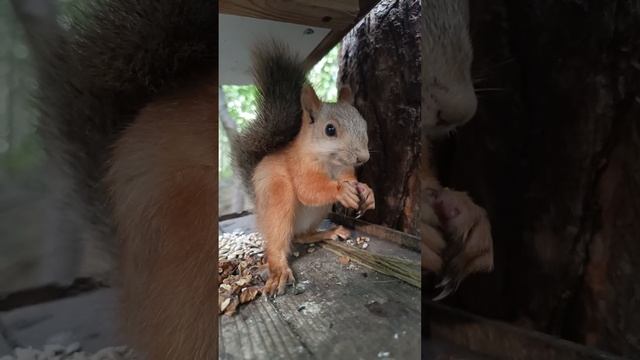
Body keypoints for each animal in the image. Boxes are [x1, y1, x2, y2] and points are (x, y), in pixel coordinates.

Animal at [230, 42, 376, 296]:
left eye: (363, 123)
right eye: (330, 130)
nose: (363, 157)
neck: (331, 162)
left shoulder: (345, 169)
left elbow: (350, 179)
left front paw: (366, 192)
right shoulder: (300, 166)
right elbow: (309, 188)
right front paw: (342, 191)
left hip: (317, 213)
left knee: (302, 236)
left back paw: (329, 232)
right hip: (278, 198)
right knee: (278, 240)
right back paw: (279, 269)